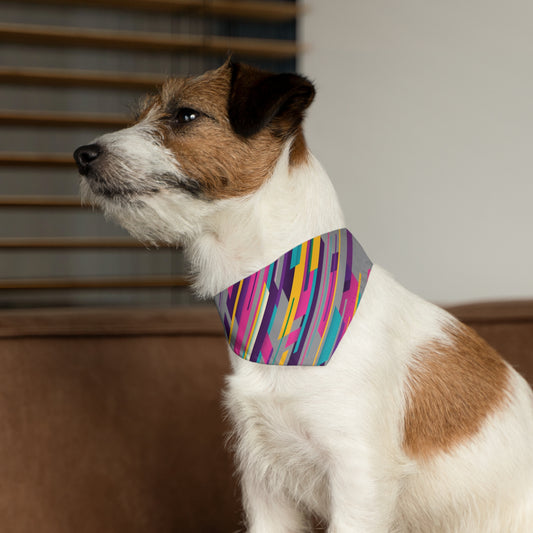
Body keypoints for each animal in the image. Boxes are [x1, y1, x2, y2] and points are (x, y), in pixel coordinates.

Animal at [74, 60, 532, 528]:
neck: (277, 300)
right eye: (139, 116)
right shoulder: (264, 482)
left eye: (186, 115)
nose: (82, 155)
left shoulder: (359, 479)